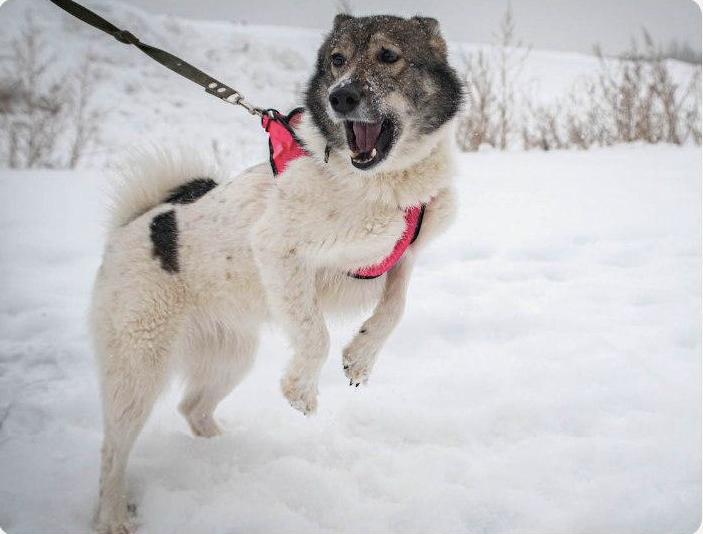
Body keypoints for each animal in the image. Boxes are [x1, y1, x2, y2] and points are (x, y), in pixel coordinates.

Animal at [95, 14, 468, 534]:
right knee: (113, 449)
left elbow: (395, 307)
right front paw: (302, 391)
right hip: (138, 367)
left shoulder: (402, 256)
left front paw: (361, 356)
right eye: (337, 60)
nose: (340, 97)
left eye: (389, 56)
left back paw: (224, 453)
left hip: (230, 356)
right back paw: (112, 515)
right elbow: (315, 335)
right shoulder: (278, 249)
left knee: (192, 408)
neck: (376, 183)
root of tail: (132, 226)